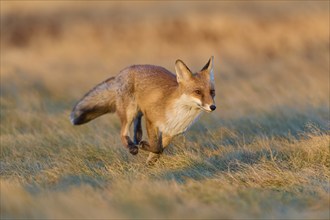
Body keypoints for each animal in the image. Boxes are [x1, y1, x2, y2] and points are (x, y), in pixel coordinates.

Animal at [71, 56, 217, 163]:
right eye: (197, 92)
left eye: (212, 92)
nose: (213, 107)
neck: (181, 114)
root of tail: (122, 72)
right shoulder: (151, 119)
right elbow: (156, 147)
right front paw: (144, 148)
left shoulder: (171, 132)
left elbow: (159, 150)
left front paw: (149, 164)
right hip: (129, 111)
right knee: (123, 133)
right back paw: (132, 146)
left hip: (137, 110)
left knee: (137, 123)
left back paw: (137, 137)